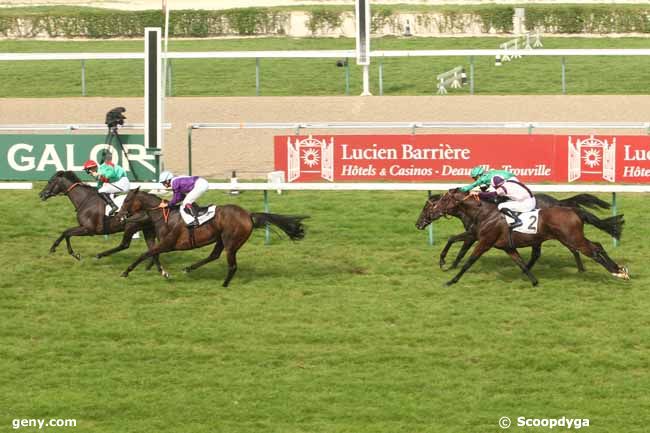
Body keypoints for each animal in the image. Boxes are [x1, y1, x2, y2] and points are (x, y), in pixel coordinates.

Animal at [38, 170, 167, 276]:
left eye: (50, 181)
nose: (41, 194)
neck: (85, 199)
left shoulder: (88, 229)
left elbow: (67, 233)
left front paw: (69, 252)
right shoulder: (83, 227)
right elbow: (66, 232)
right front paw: (61, 250)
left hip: (132, 226)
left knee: (125, 245)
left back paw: (100, 255)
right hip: (148, 229)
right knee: (153, 248)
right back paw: (155, 268)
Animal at [116, 187, 306, 286]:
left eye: (127, 200)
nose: (118, 214)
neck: (165, 216)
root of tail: (248, 215)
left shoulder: (167, 244)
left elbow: (145, 254)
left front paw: (125, 272)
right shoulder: (163, 244)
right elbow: (152, 255)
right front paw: (164, 272)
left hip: (231, 242)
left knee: (232, 265)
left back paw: (224, 284)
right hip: (221, 239)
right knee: (214, 255)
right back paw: (189, 268)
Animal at [412, 190, 624, 286]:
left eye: (430, 205)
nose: (418, 224)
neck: (484, 212)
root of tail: (570, 208)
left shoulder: (482, 240)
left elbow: (467, 257)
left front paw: (451, 275)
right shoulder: (504, 245)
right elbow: (519, 261)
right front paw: (534, 280)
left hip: (571, 238)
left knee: (593, 249)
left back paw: (617, 271)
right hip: (564, 237)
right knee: (594, 246)